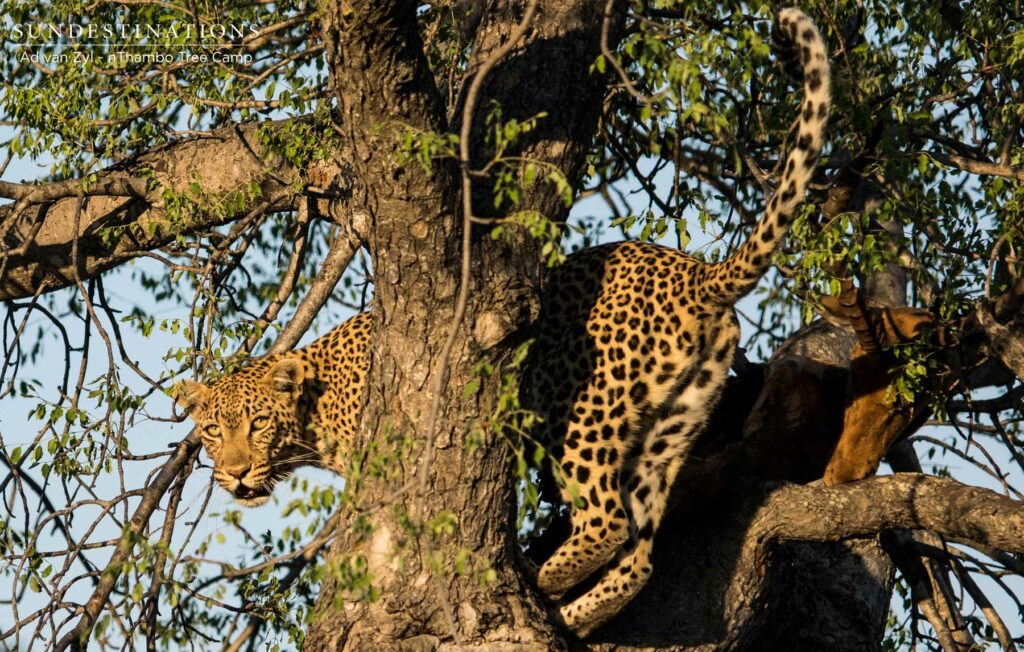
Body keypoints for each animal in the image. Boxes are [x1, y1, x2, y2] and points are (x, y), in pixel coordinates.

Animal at [522, 8, 831, 637]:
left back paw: (549, 579)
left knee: (607, 520)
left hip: (586, 400)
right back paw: (577, 613)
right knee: (638, 553)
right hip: (669, 427)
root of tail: (698, 275)